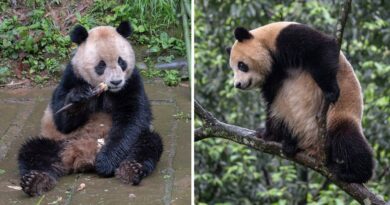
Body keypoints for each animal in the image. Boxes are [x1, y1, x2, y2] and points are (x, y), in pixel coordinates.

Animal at [16, 21, 162, 197]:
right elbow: (61, 119)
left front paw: (106, 162)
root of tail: (82, 156)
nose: (116, 82)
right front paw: (79, 98)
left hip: (135, 141)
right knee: (33, 151)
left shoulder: (131, 82)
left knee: (148, 143)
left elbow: (132, 119)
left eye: (122, 62)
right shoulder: (71, 77)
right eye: (101, 65)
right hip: (59, 142)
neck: (105, 91)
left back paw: (130, 170)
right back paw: (36, 181)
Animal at [225, 21, 374, 183]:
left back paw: (354, 173)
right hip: (291, 120)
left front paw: (331, 91)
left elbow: (321, 49)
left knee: (347, 139)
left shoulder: (286, 38)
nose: (238, 84)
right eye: (233, 69)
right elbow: (271, 103)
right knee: (282, 117)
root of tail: (314, 149)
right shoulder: (273, 77)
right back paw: (288, 143)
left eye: (241, 65)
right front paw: (265, 134)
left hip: (338, 115)